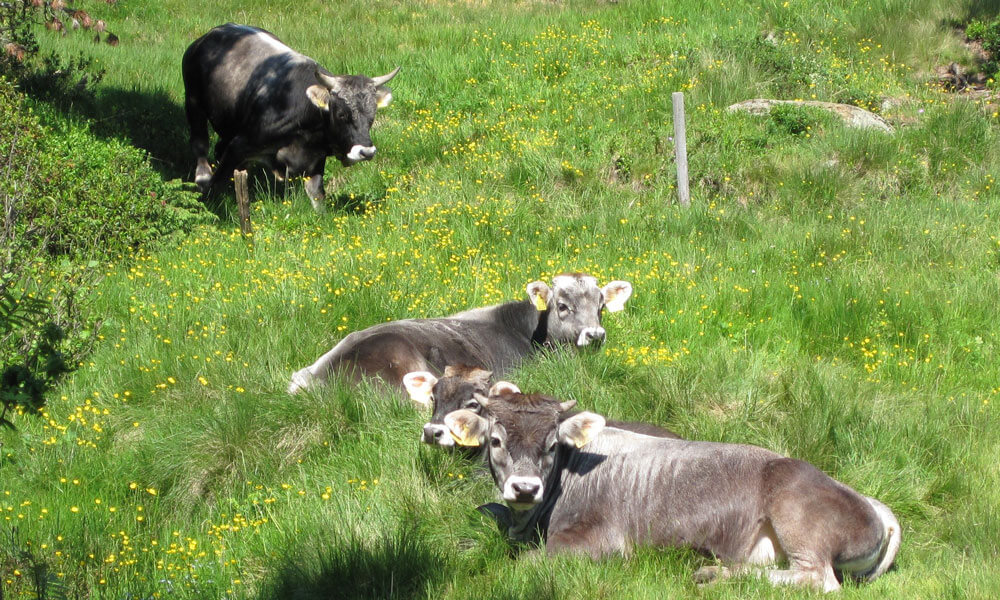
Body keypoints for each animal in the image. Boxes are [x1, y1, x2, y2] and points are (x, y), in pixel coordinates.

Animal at [180, 23, 398, 211]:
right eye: (342, 114)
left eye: (372, 116)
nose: (366, 152)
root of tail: (209, 35)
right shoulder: (241, 144)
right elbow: (217, 182)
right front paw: (208, 204)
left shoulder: (314, 159)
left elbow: (317, 195)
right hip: (193, 102)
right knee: (200, 145)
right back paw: (202, 178)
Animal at [444, 392, 900, 592]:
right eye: (496, 441)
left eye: (553, 445)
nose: (525, 487)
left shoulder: (601, 543)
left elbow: (524, 564)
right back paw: (714, 573)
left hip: (795, 511)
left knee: (818, 579)